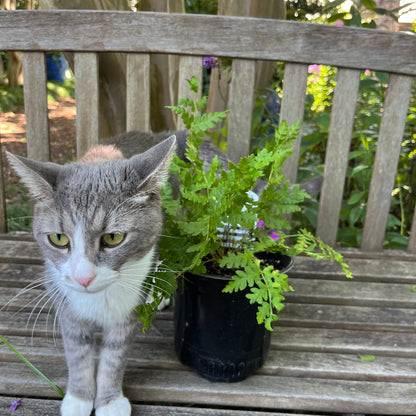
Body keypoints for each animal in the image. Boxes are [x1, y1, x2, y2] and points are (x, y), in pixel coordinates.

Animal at [6, 134, 177, 416]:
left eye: (113, 238)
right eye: (58, 238)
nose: (83, 278)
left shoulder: (128, 308)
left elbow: (114, 355)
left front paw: (110, 401)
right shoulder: (65, 299)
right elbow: (77, 351)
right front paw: (79, 398)